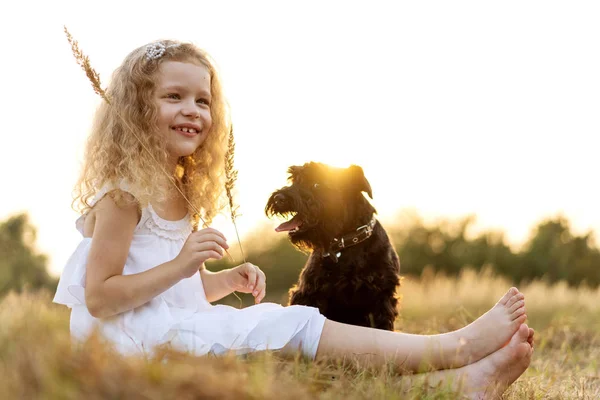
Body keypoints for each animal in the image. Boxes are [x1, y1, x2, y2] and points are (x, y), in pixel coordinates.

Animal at [266, 162, 398, 332]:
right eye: (294, 179)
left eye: (317, 184)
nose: (278, 198)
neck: (345, 243)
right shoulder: (309, 293)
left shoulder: (382, 296)